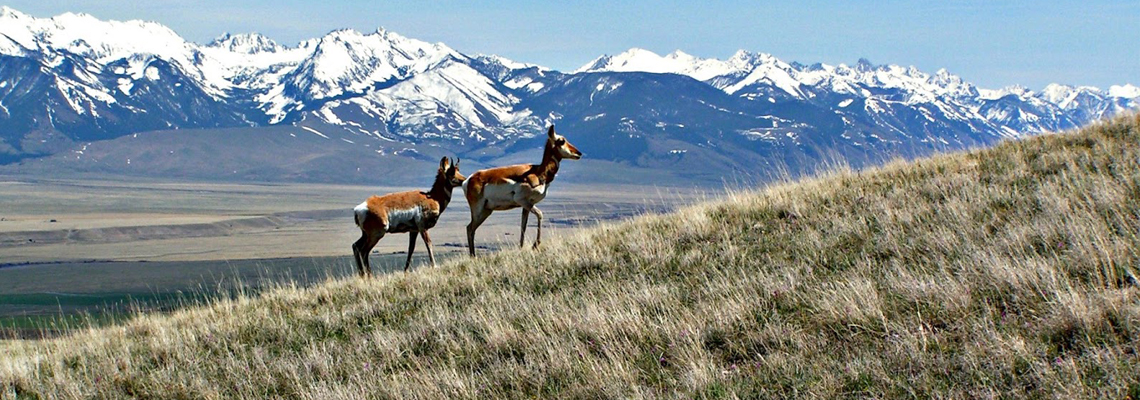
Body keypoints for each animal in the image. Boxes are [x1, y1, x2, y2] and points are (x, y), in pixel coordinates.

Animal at [462, 125, 583, 257]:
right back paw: (473, 256)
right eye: (561, 141)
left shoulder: (526, 206)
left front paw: (521, 247)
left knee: (471, 229)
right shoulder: (523, 201)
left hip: (486, 211)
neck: (538, 172)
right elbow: (540, 214)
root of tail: (469, 179)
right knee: (469, 228)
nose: (579, 153)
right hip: (478, 210)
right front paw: (535, 245)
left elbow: (523, 226)